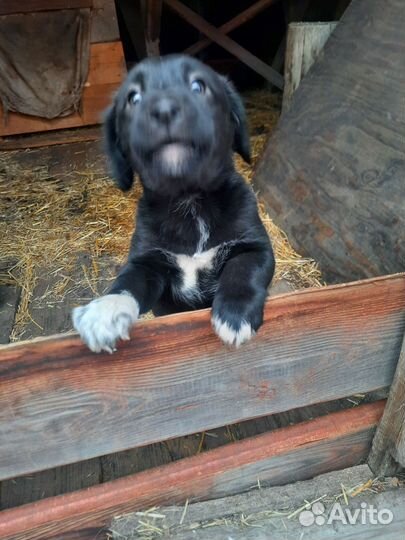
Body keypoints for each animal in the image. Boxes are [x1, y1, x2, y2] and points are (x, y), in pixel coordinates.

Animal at [72, 53, 274, 350]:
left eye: (198, 86)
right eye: (133, 97)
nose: (164, 109)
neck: (189, 202)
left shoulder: (256, 247)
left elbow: (242, 271)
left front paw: (235, 316)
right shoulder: (147, 263)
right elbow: (128, 283)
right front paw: (105, 311)